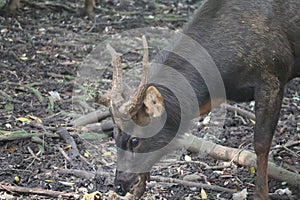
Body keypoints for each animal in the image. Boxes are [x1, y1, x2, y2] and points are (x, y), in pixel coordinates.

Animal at [103, 0, 300, 200]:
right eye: (114, 135)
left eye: (135, 140)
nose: (119, 185)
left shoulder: (273, 75)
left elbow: (261, 143)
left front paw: (261, 194)